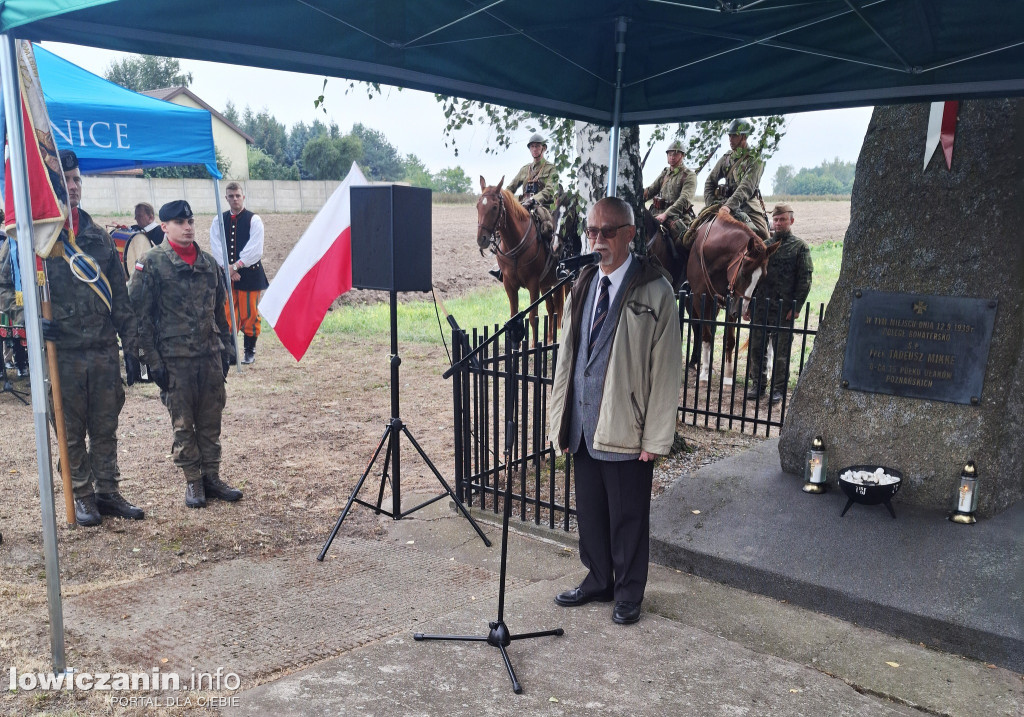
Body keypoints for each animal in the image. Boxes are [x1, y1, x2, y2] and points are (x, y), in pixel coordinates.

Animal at [477, 176, 565, 344]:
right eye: (477, 206)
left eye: (495, 207)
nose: (481, 239)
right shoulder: (509, 284)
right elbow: (513, 316)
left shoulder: (533, 284)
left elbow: (533, 317)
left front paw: (533, 345)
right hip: (546, 285)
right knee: (551, 308)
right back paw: (550, 338)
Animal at [684, 206, 778, 387]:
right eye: (743, 272)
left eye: (762, 277)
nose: (742, 311)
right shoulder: (700, 299)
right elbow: (706, 335)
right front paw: (705, 373)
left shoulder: (731, 303)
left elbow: (730, 340)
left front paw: (727, 377)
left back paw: (767, 369)